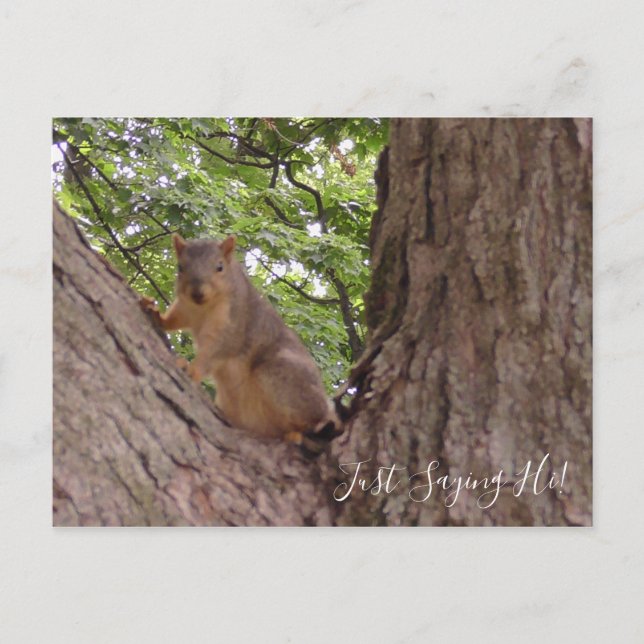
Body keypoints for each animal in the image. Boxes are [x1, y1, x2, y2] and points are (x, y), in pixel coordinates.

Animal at [141, 233, 341, 453]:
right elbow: (175, 319)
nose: (197, 293)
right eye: (180, 267)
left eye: (220, 267)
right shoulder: (186, 308)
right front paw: (155, 314)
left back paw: (296, 433)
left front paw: (192, 369)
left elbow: (215, 352)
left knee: (312, 420)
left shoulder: (233, 325)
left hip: (280, 377)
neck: (204, 308)